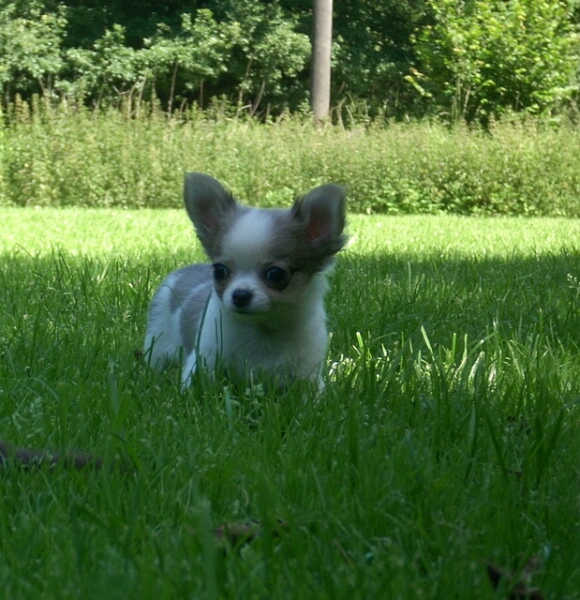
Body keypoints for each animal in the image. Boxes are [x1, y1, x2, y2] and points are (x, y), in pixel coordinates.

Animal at [143, 173, 346, 390]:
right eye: (219, 271)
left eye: (276, 274)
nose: (239, 295)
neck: (261, 329)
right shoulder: (205, 358)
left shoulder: (308, 370)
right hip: (158, 341)